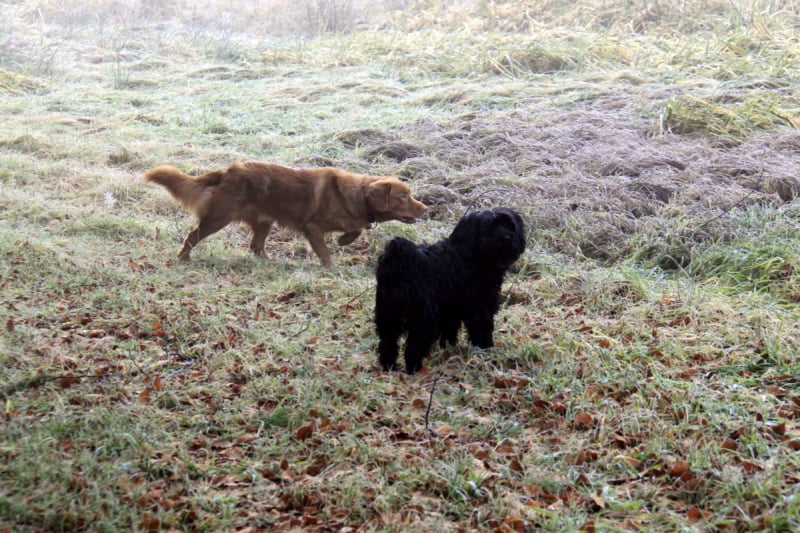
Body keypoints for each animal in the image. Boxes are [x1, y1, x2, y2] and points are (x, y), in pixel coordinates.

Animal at [142, 162, 427, 266]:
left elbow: (354, 229)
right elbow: (325, 252)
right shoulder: (312, 227)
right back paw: (183, 257)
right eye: (404, 196)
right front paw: (331, 266)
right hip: (218, 218)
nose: (425, 208)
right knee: (192, 236)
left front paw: (345, 239)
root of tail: (228, 171)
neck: (358, 195)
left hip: (264, 221)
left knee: (256, 246)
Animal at [375, 207, 526, 374]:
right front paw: (486, 350)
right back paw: (415, 370)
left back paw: (389, 368)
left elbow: (449, 331)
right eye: (490, 227)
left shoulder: (450, 311)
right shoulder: (480, 307)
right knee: (413, 347)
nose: (507, 237)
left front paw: (449, 349)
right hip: (422, 318)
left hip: (388, 315)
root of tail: (398, 259)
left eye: (509, 224)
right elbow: (482, 328)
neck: (471, 254)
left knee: (387, 344)